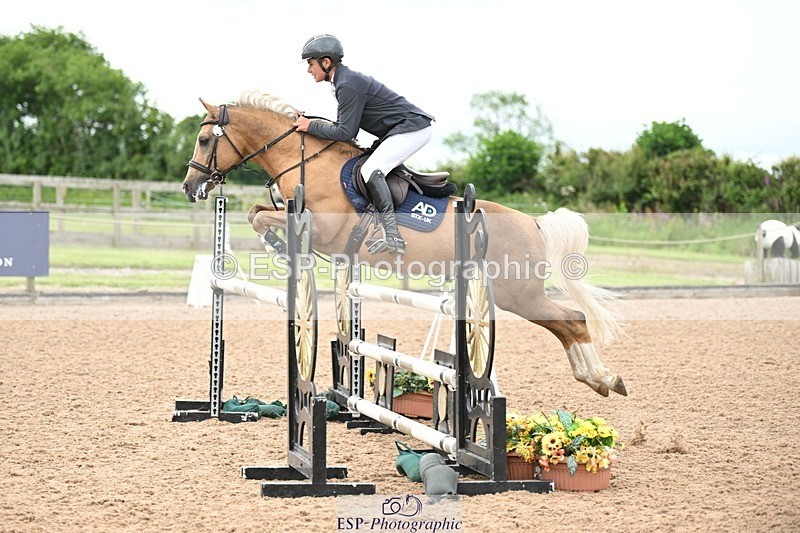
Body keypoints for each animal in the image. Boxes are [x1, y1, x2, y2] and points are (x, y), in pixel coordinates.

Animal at [182, 90, 627, 397]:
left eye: (204, 141)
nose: (190, 187)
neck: (304, 159)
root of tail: (534, 223)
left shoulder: (323, 227)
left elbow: (261, 217)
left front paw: (276, 243)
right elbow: (255, 212)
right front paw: (275, 243)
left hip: (516, 293)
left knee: (573, 319)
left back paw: (604, 377)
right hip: (512, 293)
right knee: (567, 323)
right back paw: (598, 378)